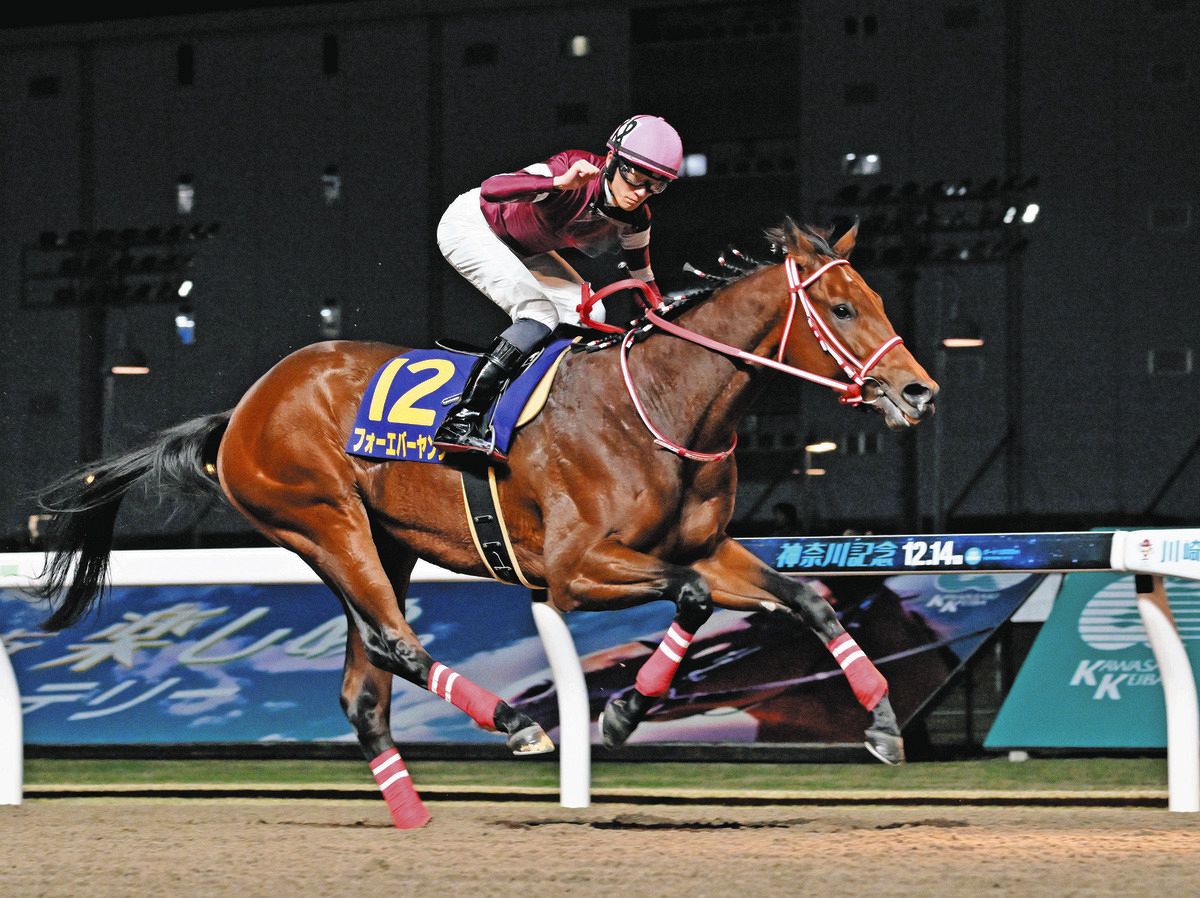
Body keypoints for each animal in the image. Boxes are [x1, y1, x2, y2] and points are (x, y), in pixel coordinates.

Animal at [32, 219, 937, 828]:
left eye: (874, 297)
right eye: (841, 307)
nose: (918, 391)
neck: (659, 401)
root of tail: (243, 410)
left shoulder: (703, 546)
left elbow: (803, 597)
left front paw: (882, 723)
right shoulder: (574, 572)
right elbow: (689, 599)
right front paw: (618, 712)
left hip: (383, 543)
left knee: (363, 686)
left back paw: (413, 815)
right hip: (322, 521)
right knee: (395, 645)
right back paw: (514, 724)